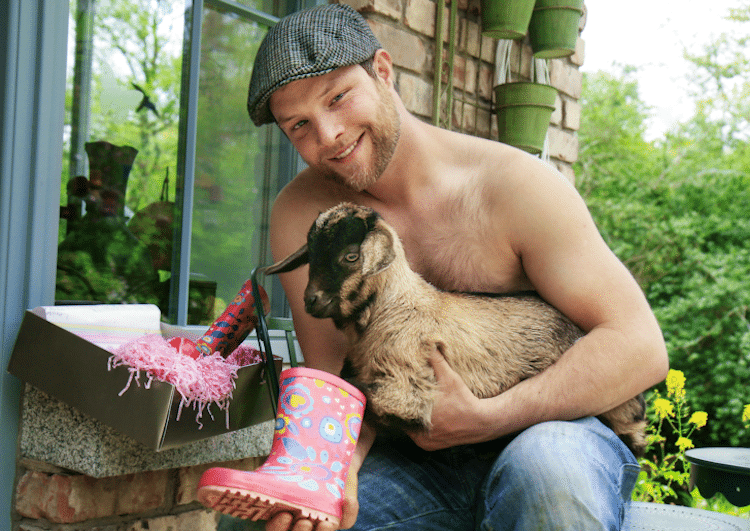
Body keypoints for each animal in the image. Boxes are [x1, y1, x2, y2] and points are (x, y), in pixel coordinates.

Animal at [264, 202, 648, 456]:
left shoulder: (406, 388)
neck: (390, 309)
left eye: (350, 256)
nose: (310, 300)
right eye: (311, 255)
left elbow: (360, 390)